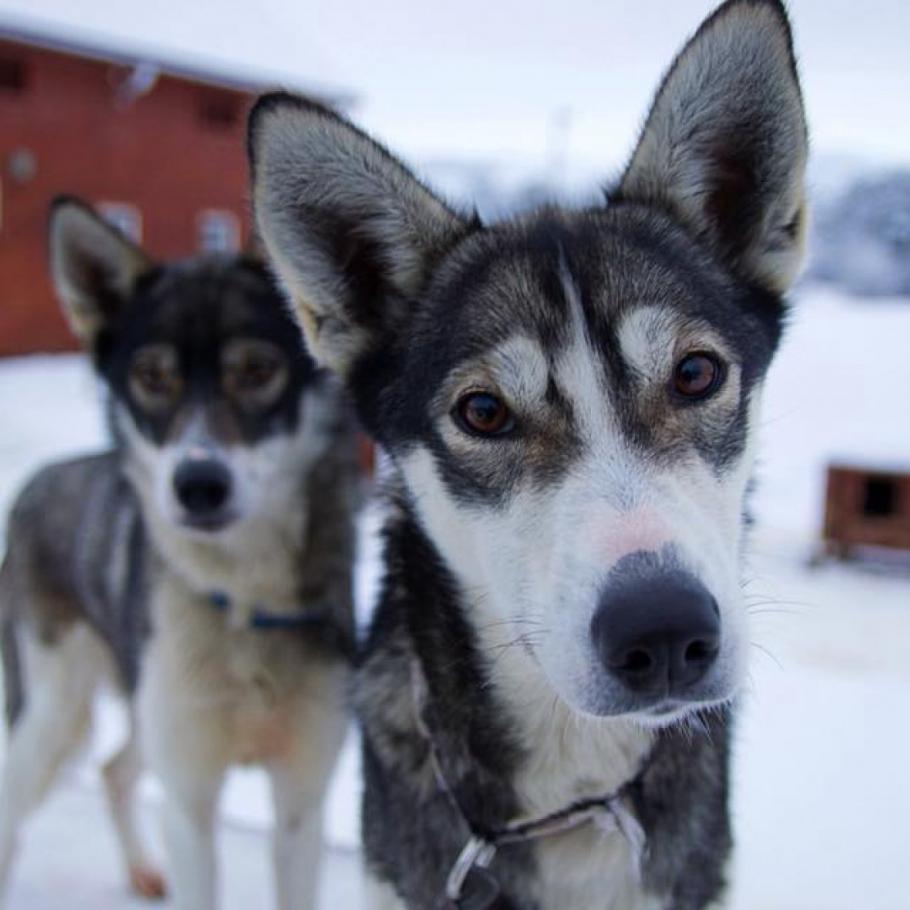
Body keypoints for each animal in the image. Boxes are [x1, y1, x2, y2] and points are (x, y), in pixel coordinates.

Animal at [0, 200, 362, 910]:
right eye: (152, 377)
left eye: (257, 370)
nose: (198, 484)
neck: (244, 600)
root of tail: (41, 478)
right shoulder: (190, 805)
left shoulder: (300, 800)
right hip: (53, 714)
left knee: (114, 770)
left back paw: (142, 870)